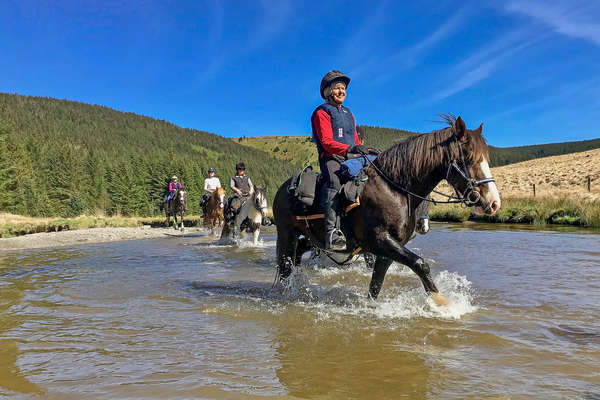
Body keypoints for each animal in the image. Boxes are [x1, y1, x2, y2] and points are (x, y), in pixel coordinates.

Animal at [274, 115, 502, 306]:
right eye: (470, 158)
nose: (494, 203)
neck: (394, 188)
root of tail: (283, 188)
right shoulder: (379, 240)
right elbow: (420, 264)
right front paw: (442, 302)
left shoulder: (389, 248)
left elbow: (376, 283)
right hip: (287, 234)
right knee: (285, 266)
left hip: (311, 237)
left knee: (297, 255)